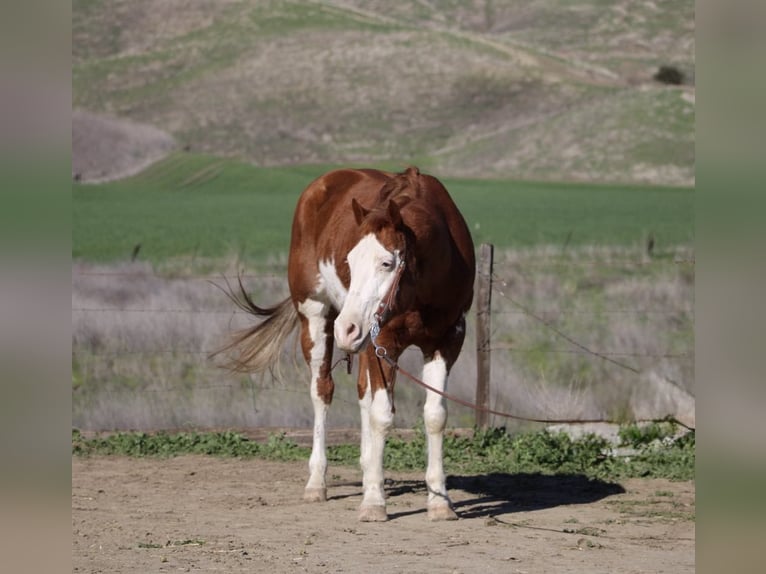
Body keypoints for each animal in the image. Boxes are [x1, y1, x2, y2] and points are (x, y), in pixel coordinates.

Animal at [217, 166, 475, 522]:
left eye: (386, 263)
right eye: (349, 262)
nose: (346, 328)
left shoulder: (446, 340)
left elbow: (434, 416)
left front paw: (440, 502)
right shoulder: (384, 340)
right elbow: (381, 414)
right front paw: (374, 502)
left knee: (363, 394)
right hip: (316, 318)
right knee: (322, 391)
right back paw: (317, 482)